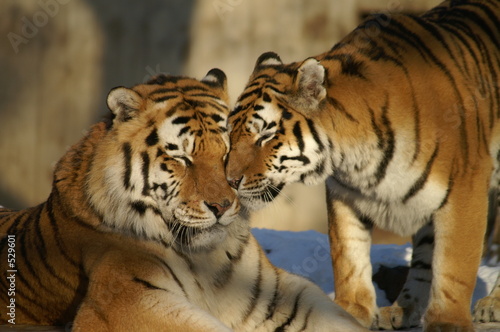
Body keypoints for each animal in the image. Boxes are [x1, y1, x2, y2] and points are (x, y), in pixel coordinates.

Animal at [0, 70, 368, 332]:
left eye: (228, 150)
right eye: (181, 157)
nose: (221, 206)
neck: (207, 257)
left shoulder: (273, 294)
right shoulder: (123, 302)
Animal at [227, 0, 500, 332]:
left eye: (265, 135)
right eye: (231, 132)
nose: (230, 180)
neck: (354, 156)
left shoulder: (465, 187)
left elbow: (454, 264)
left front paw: (448, 323)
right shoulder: (345, 193)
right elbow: (348, 254)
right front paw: (350, 311)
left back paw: (492, 305)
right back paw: (401, 310)